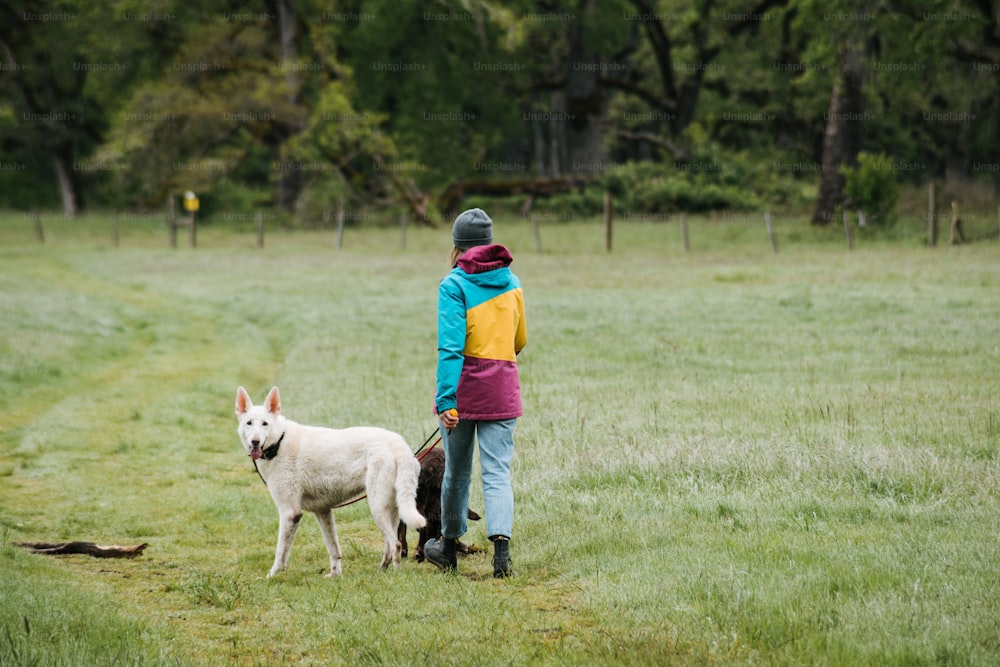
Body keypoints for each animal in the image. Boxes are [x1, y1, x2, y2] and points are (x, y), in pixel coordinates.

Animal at [235, 388, 426, 576]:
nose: (255, 442)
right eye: (249, 423)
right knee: (389, 544)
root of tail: (398, 443)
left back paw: (395, 576)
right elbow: (334, 550)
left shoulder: (290, 513)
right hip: (390, 509)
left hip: (377, 508)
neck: (279, 442)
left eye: (265, 424)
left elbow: (281, 554)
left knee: (396, 545)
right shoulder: (323, 511)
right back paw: (382, 570)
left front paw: (272, 576)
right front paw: (335, 575)